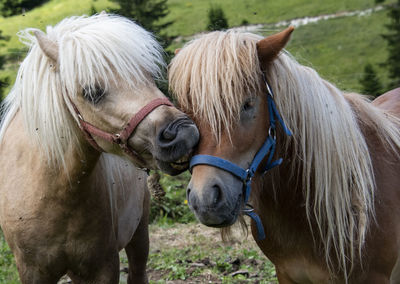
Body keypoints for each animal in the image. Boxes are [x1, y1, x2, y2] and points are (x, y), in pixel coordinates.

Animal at [0, 13, 199, 284]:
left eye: (147, 75)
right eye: (92, 92)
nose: (183, 133)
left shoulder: (102, 266)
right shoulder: (33, 272)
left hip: (139, 232)